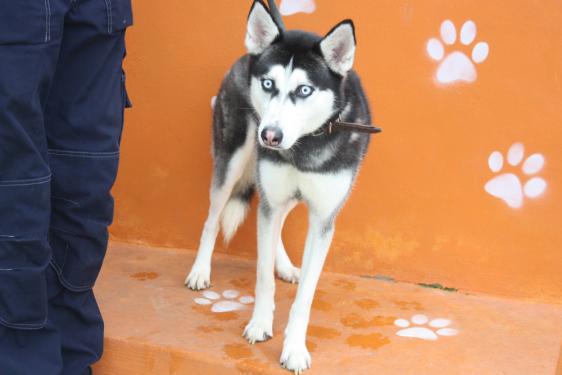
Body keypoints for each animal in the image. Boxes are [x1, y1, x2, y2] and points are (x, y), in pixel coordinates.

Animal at [187, 0, 372, 374]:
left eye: (304, 90)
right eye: (269, 83)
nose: (270, 136)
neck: (302, 145)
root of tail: (245, 56)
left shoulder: (323, 219)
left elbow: (305, 297)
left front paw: (295, 348)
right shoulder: (268, 192)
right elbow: (262, 277)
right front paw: (259, 324)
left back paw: (284, 265)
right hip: (232, 161)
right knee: (213, 219)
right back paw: (200, 270)